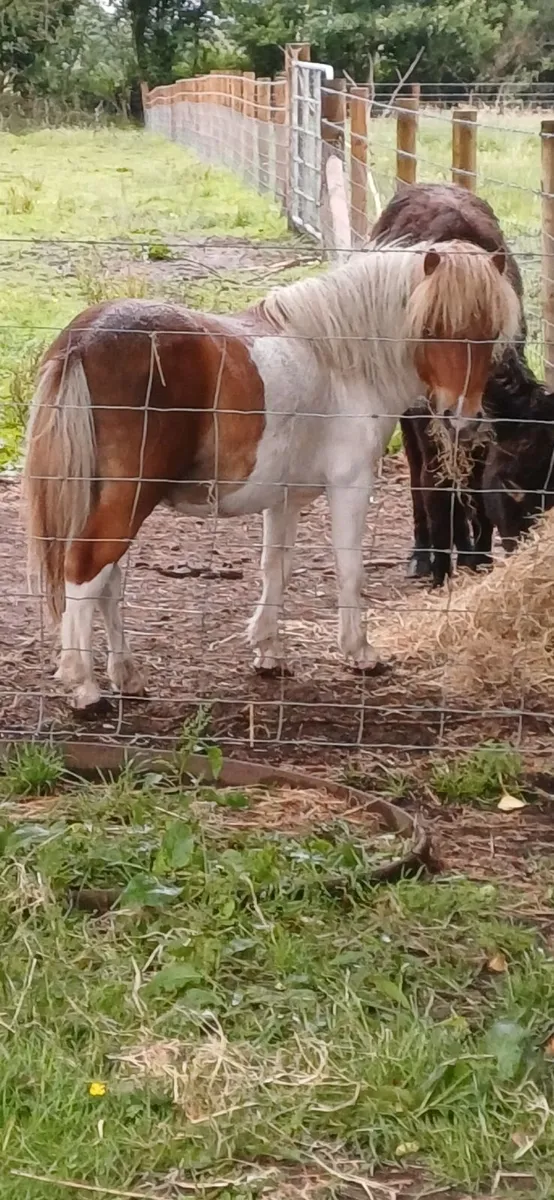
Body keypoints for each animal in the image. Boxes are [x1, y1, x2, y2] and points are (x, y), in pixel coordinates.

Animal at [23, 239, 520, 711]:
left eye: (488, 332)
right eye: (431, 327)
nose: (463, 420)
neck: (339, 361)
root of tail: (83, 339)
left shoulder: (284, 499)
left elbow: (275, 568)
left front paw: (268, 651)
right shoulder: (351, 485)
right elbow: (350, 570)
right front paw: (360, 652)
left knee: (107, 582)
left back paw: (127, 676)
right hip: (128, 499)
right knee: (86, 569)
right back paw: (85, 687)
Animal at [369, 183, 526, 586]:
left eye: (492, 333)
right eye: (428, 329)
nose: (459, 416)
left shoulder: (484, 424)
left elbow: (476, 490)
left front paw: (479, 560)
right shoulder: (430, 421)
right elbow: (435, 490)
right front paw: (439, 571)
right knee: (418, 477)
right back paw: (424, 553)